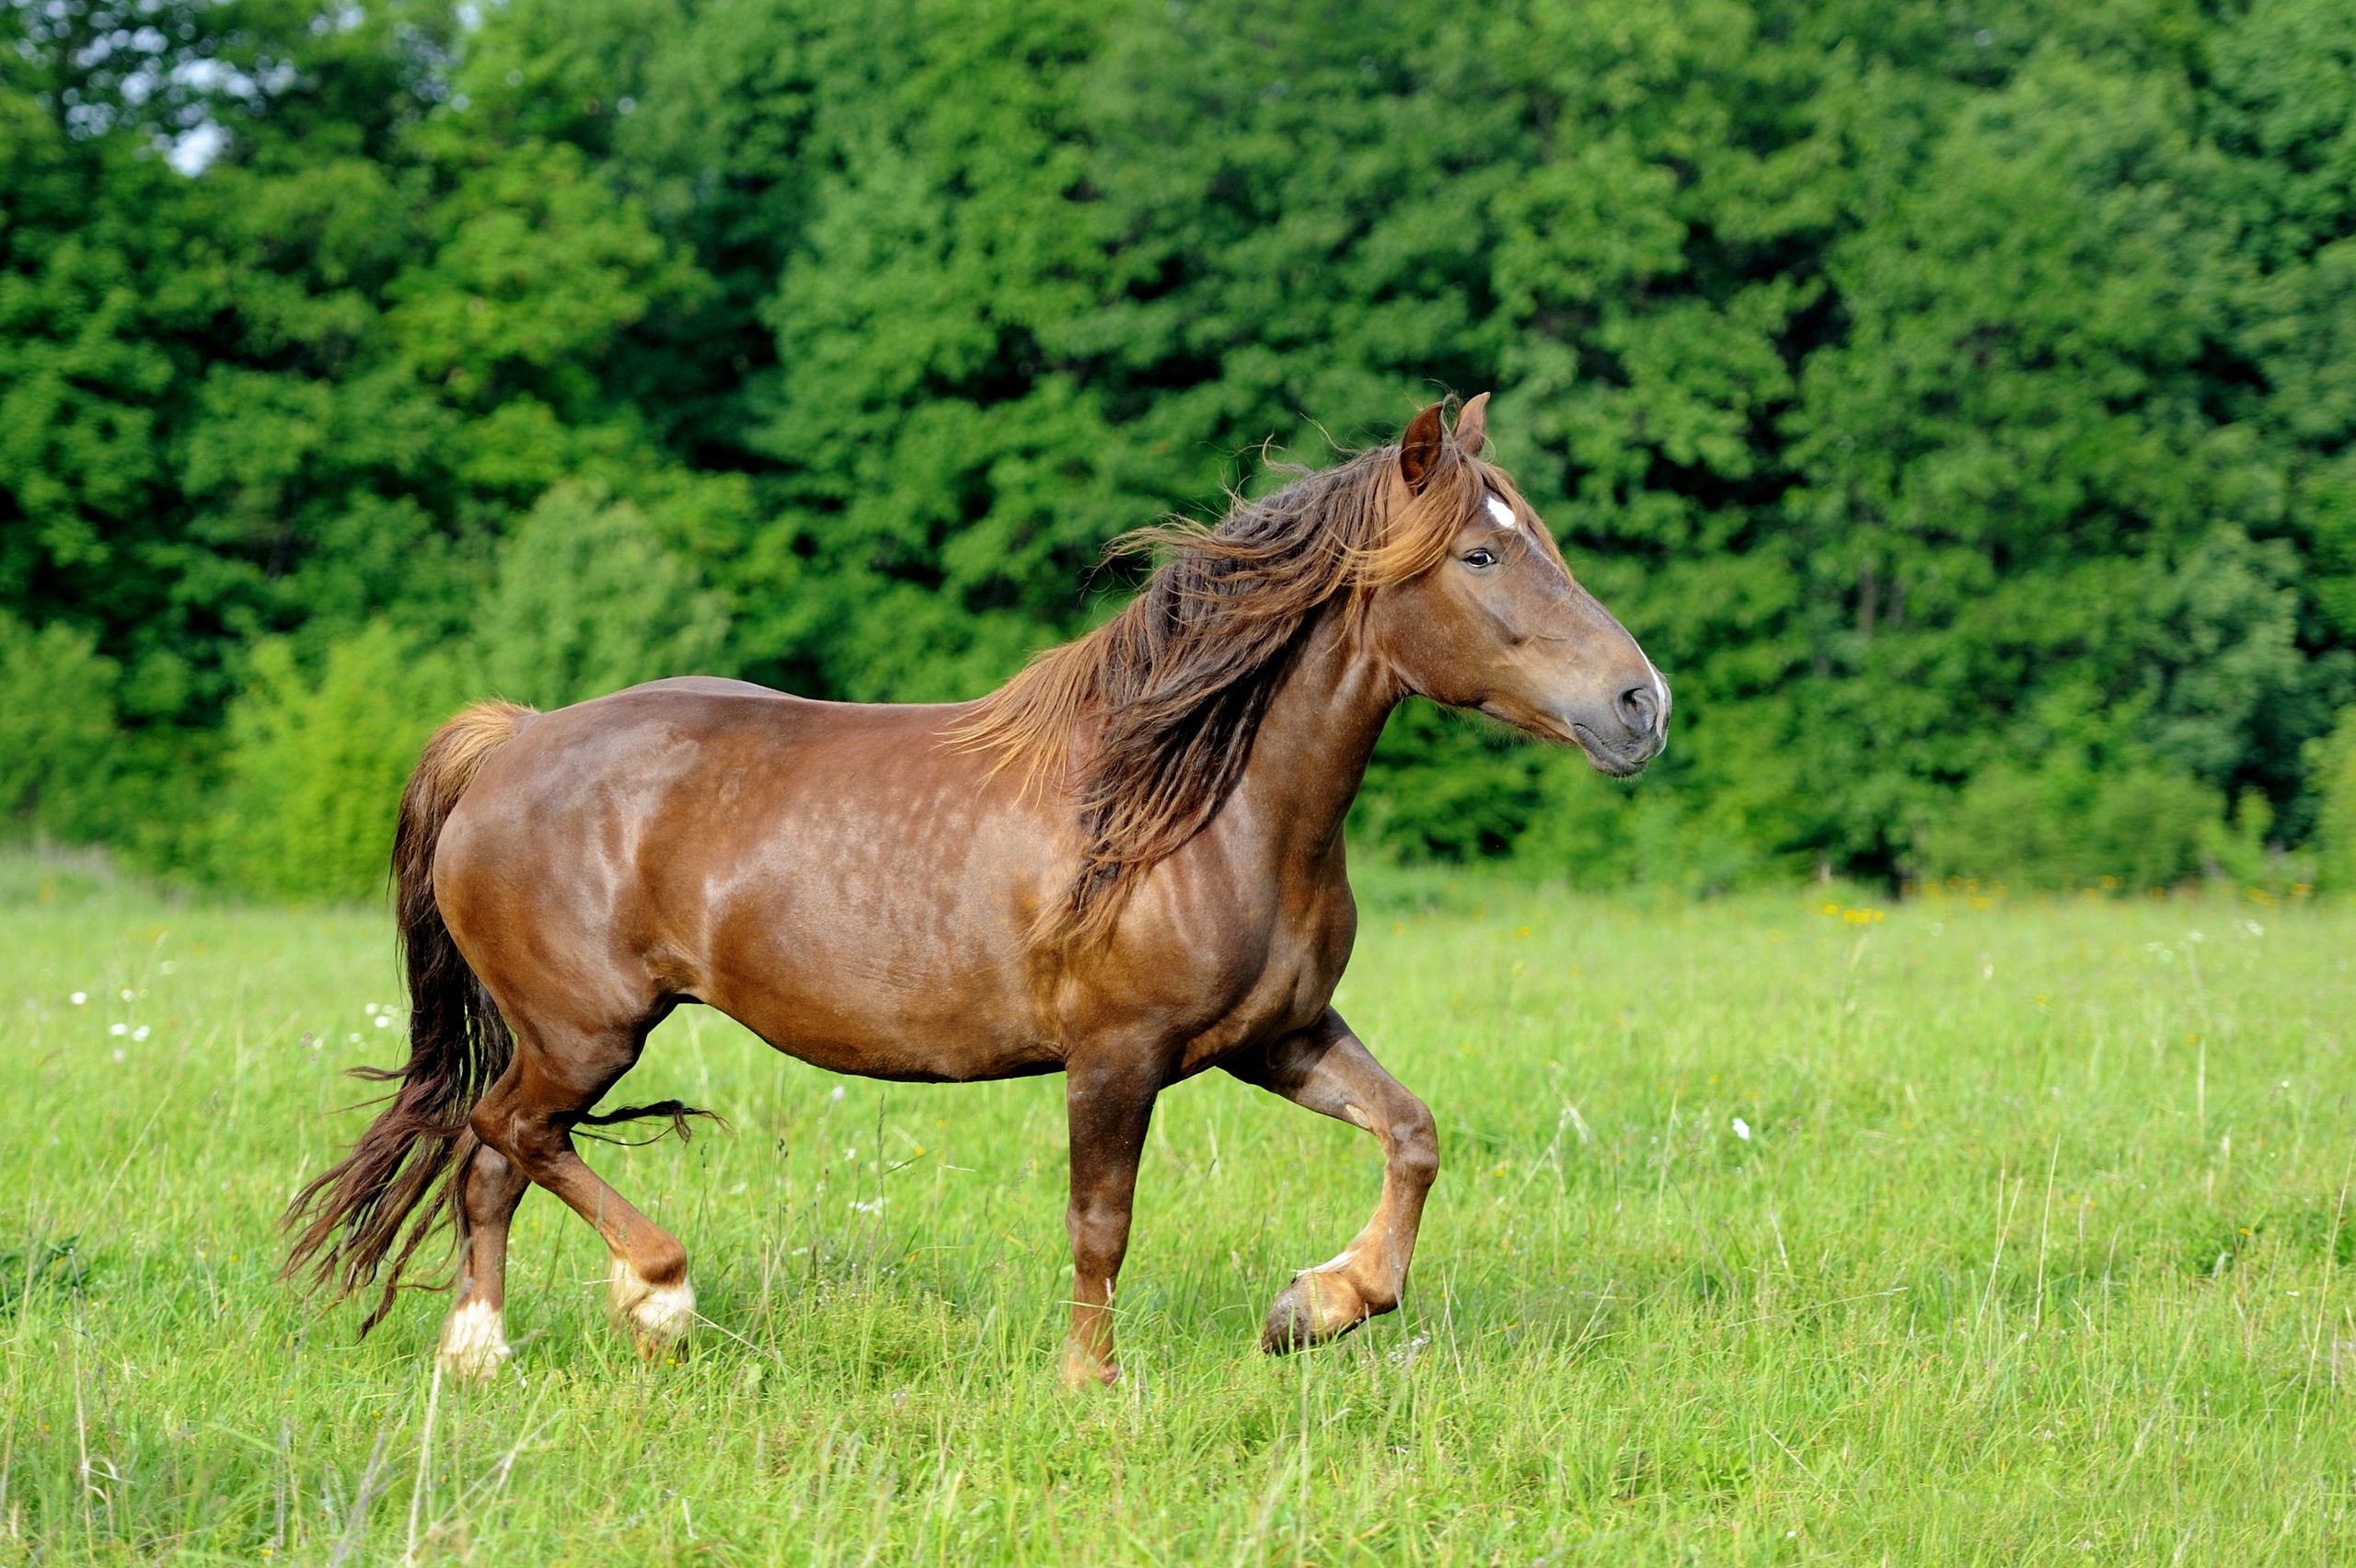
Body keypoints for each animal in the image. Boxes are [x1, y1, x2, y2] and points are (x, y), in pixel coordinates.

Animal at [282, 394, 1670, 1387]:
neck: (1202, 807)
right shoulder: (1118, 1054)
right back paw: (656, 1297)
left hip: (560, 1034)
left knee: (489, 1161)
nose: (1640, 705)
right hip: (585, 1030)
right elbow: (1101, 1223)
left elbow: (1412, 1134)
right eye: (1483, 553)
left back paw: (478, 1358)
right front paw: (1088, 1386)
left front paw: (1314, 1307)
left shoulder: (1275, 1037)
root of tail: (512, 740)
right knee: (509, 1133)